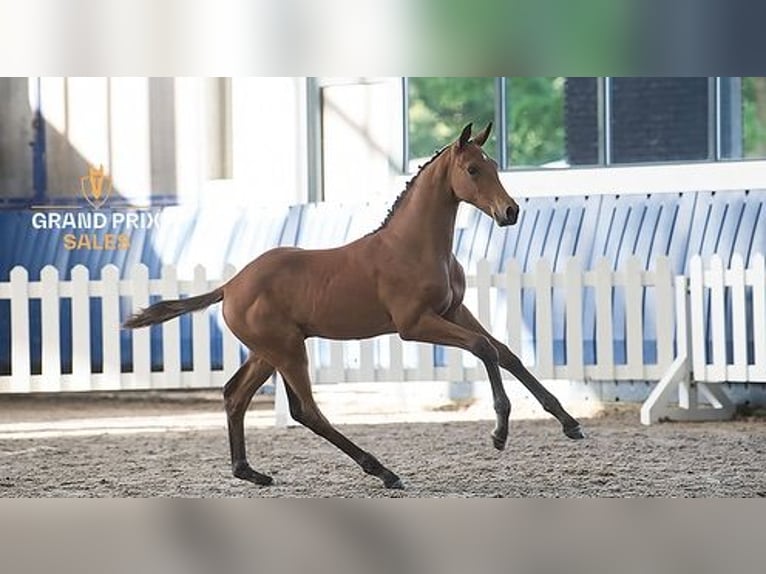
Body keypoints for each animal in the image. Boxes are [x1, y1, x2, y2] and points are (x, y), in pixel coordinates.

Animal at [123, 122, 584, 490]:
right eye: (472, 170)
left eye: (495, 167)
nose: (510, 212)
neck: (413, 246)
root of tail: (231, 285)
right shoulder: (415, 324)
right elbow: (484, 348)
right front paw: (500, 431)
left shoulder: (454, 312)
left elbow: (506, 353)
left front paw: (569, 423)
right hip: (287, 350)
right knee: (307, 410)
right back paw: (383, 471)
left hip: (268, 352)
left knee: (236, 395)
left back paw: (250, 472)